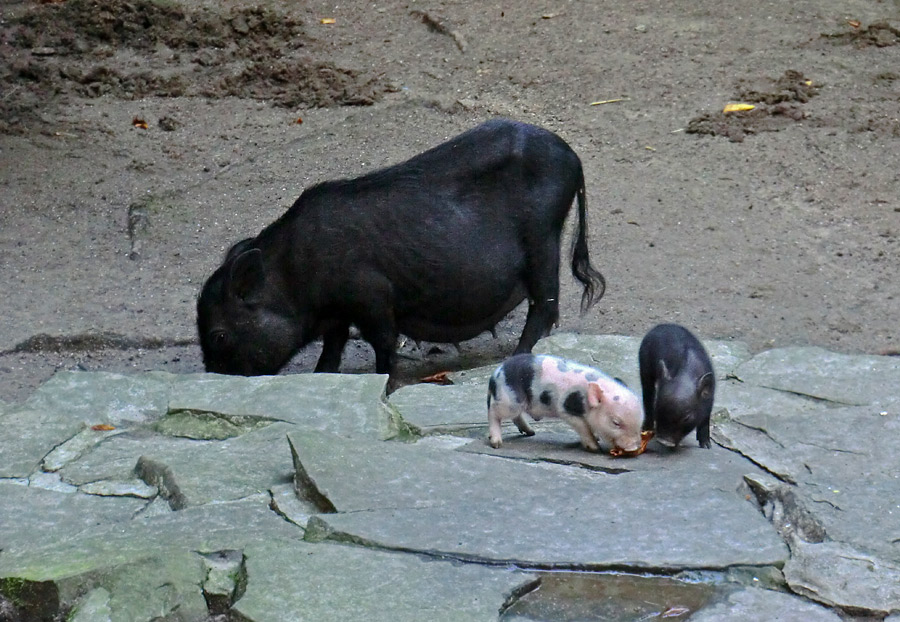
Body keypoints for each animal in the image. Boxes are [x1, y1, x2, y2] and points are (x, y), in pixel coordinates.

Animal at [197, 120, 604, 378]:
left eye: (218, 335)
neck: (293, 275)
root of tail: (573, 157)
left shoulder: (373, 296)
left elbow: (382, 344)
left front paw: (386, 381)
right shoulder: (340, 314)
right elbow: (333, 346)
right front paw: (321, 375)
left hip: (543, 239)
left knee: (545, 305)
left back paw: (519, 356)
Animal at [488, 356, 644, 454]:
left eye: (641, 421)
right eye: (615, 422)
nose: (633, 447)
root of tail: (495, 374)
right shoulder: (566, 408)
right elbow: (583, 426)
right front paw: (595, 448)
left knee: (515, 416)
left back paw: (531, 432)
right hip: (509, 400)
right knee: (493, 412)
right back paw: (496, 444)